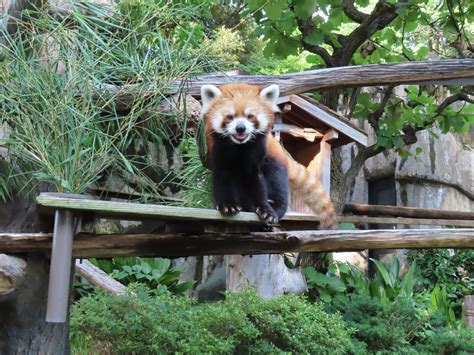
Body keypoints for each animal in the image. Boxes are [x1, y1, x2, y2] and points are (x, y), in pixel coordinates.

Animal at [200, 82, 336, 231]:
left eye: (250, 116)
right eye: (229, 117)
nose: (240, 128)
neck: (240, 147)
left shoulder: (256, 156)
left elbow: (256, 182)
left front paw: (266, 210)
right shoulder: (218, 152)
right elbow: (222, 178)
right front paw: (228, 205)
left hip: (275, 161)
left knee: (277, 183)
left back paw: (274, 207)